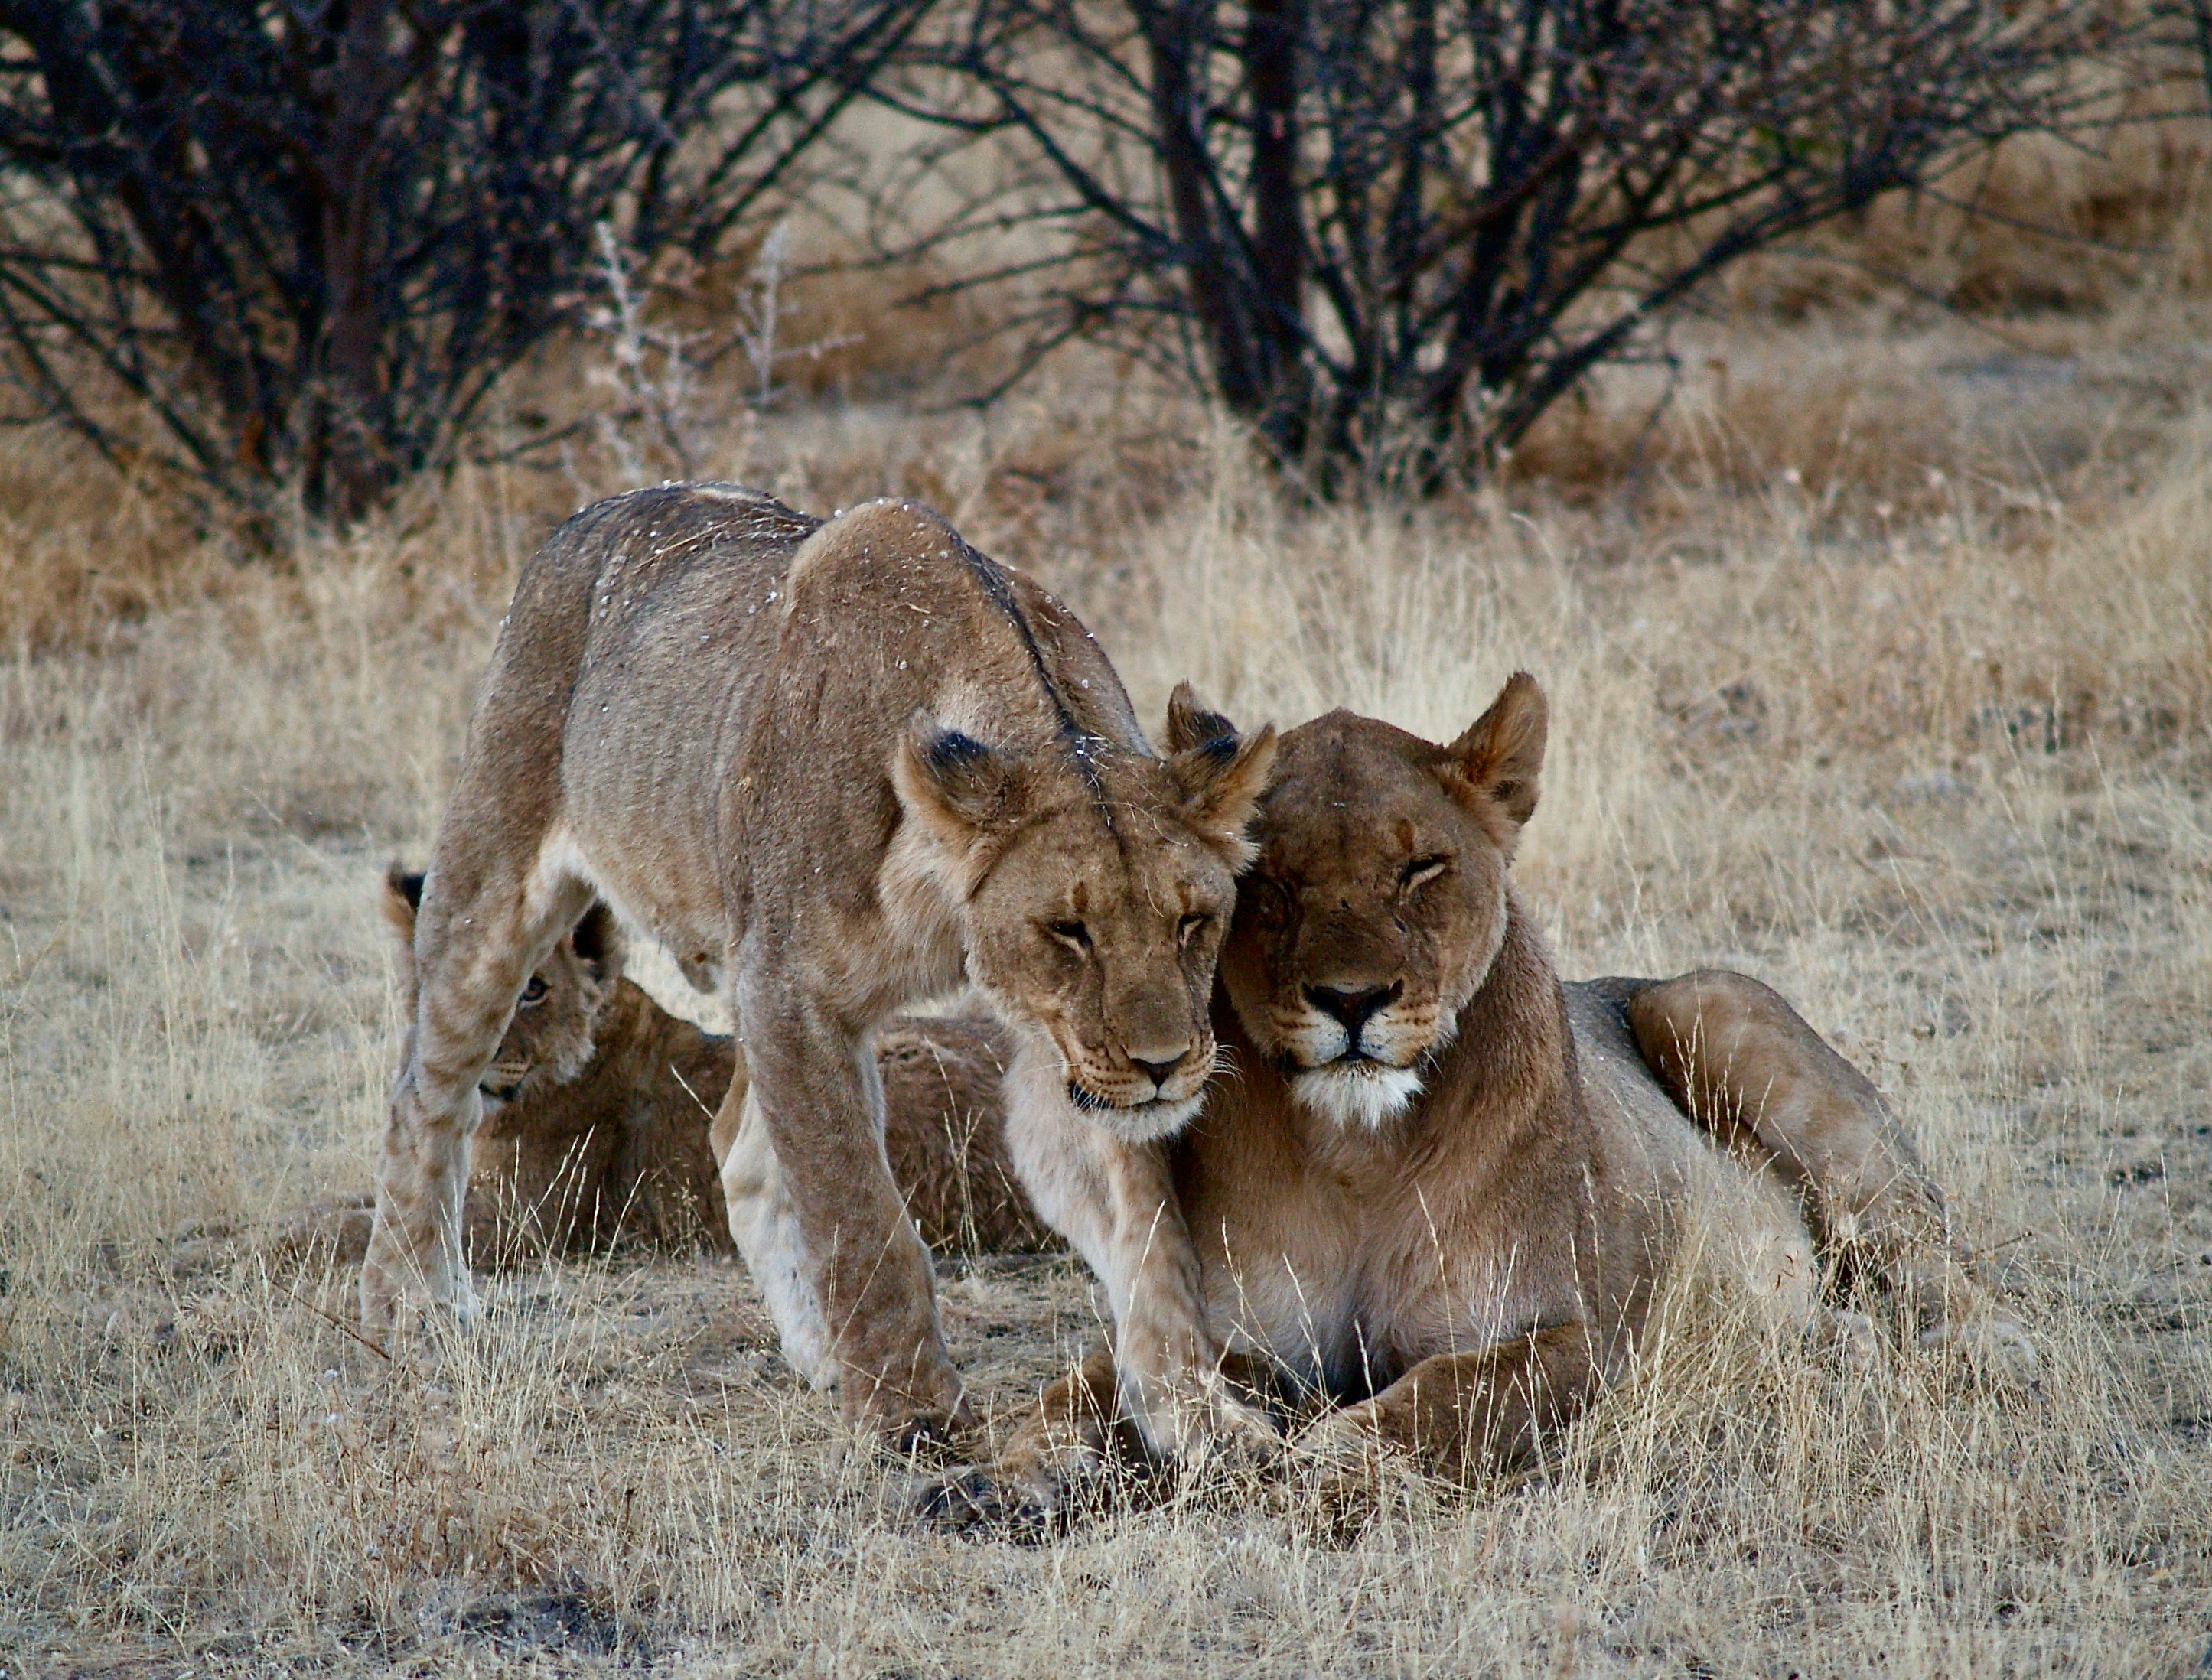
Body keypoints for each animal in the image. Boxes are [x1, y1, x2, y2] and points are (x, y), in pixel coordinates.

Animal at [364, 486, 1274, 1446]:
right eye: (1069, 930)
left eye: (1192, 921)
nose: (1163, 1066)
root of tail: (585, 516)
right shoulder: (791, 987)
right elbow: (858, 1216)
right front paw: (911, 1415)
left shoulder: (1050, 1043)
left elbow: (1144, 1226)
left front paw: (1198, 1414)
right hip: (489, 885)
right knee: (426, 1099)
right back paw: (408, 1313)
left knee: (736, 1143)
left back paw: (818, 1355)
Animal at [937, 676, 2033, 1520]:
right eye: (1273, 884)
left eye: (1421, 867)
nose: (1351, 1001)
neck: (1354, 1150)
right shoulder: (1246, 1342)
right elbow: (1085, 1385)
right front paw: (1013, 1474)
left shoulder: (1577, 1339)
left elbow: (1437, 1401)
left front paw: (1316, 1471)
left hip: (1704, 1007)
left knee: (1931, 1258)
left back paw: (1969, 1352)